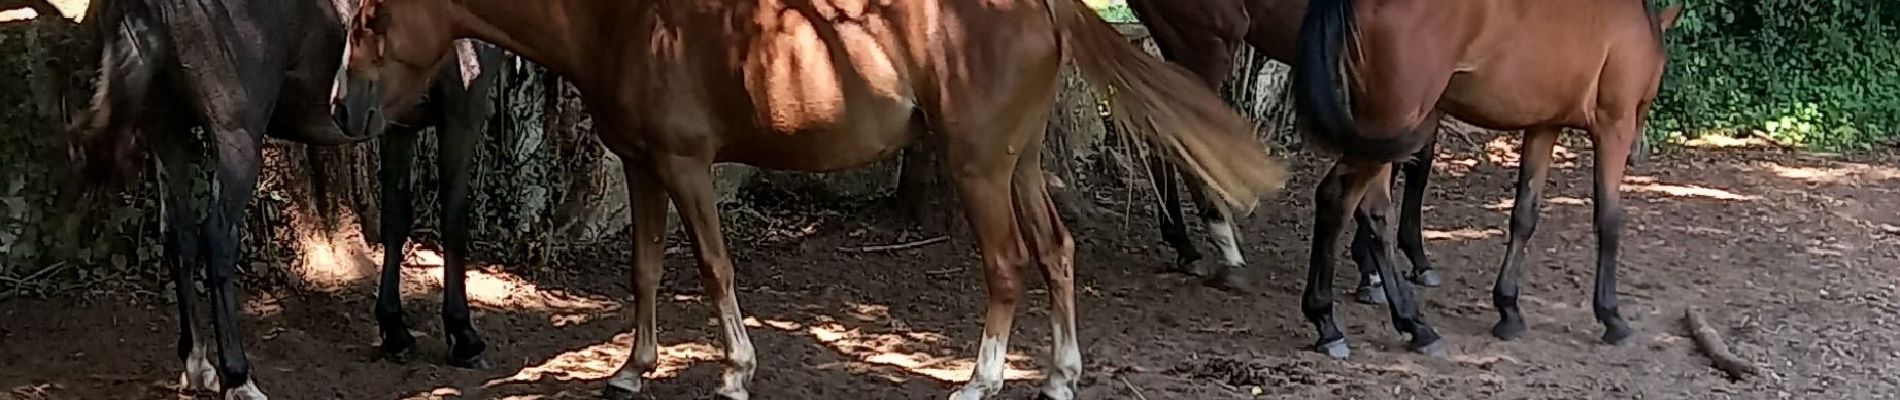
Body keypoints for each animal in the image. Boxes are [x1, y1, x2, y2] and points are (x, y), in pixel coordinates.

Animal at [69, 0, 505, 396]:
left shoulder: (398, 124)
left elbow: (397, 221)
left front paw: (395, 330)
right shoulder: (463, 109)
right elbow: (454, 221)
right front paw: (464, 337)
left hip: (168, 130)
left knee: (180, 237)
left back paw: (197, 363)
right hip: (237, 138)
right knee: (218, 240)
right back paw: (238, 376)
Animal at [338, 0, 1292, 396]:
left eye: (371, 16)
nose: (345, 108)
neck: (628, 18)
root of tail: (1045, 6)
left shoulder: (686, 165)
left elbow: (714, 270)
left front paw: (734, 372)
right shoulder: (643, 167)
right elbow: (645, 273)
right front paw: (631, 371)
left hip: (981, 170)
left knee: (1009, 268)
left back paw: (980, 382)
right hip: (1017, 166)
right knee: (1056, 254)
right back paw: (1059, 378)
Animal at [1292, 0, 1679, 358]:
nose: (1638, 151)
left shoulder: (1544, 127)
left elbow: (1524, 215)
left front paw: (1508, 309)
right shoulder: (1613, 128)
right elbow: (1608, 222)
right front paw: (1612, 316)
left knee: (1373, 214)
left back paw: (1413, 324)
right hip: (1389, 126)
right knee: (1336, 199)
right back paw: (1328, 323)